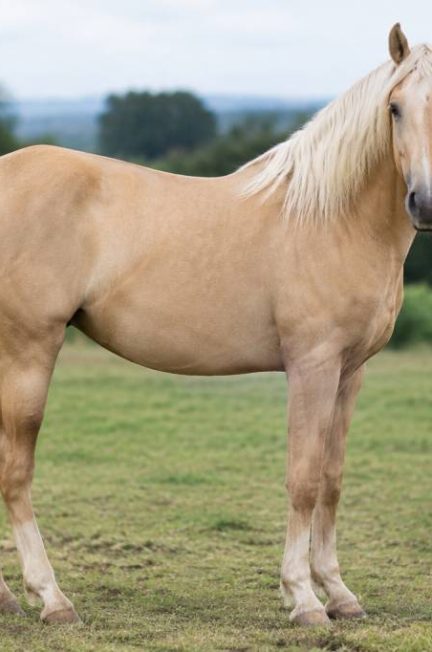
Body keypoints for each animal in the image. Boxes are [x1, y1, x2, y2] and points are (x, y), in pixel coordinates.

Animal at [0, 23, 430, 627]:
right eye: (394, 107)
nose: (425, 201)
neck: (334, 219)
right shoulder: (313, 365)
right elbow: (303, 478)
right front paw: (303, 598)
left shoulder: (351, 372)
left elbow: (332, 480)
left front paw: (339, 593)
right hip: (28, 349)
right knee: (16, 470)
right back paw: (52, 598)